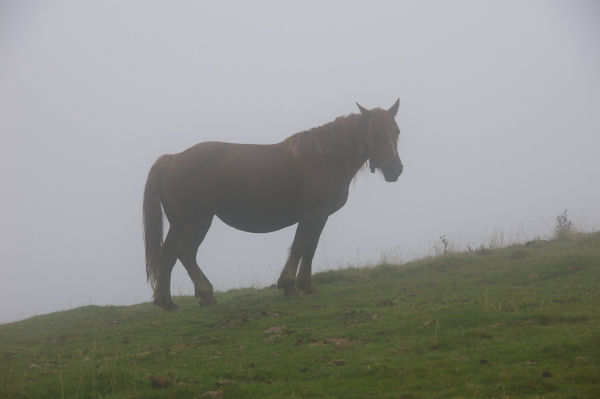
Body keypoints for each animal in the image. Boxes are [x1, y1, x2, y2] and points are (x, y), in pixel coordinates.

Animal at [142, 98, 404, 310]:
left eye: (397, 132)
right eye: (375, 134)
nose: (395, 169)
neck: (327, 158)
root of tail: (173, 158)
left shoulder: (314, 217)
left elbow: (307, 248)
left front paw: (301, 285)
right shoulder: (314, 215)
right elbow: (301, 248)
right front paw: (292, 285)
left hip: (179, 224)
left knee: (167, 256)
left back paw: (166, 302)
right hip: (197, 223)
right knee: (186, 254)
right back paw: (206, 294)